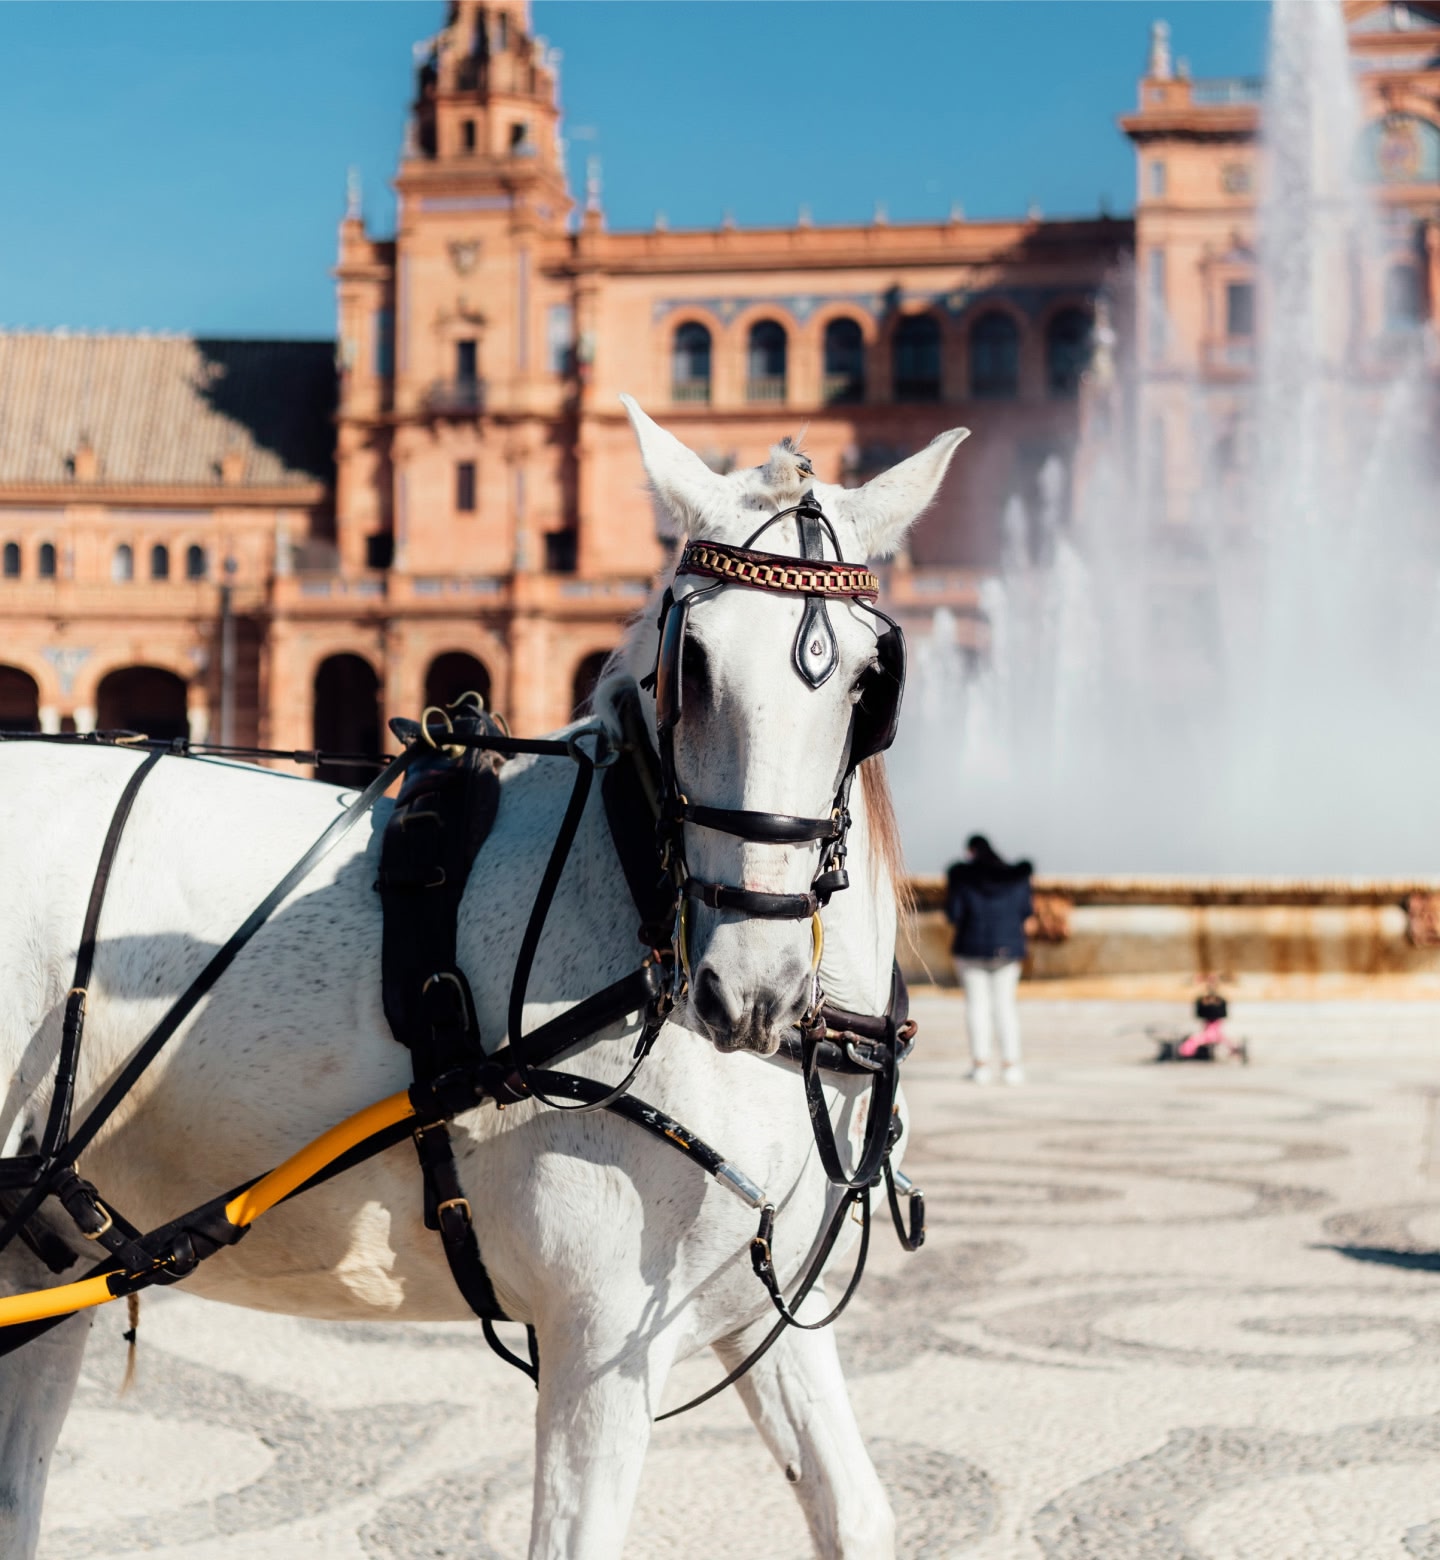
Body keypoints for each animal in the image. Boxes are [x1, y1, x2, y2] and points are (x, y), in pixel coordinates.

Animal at [0, 397, 968, 1560]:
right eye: (689, 665)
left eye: (872, 682)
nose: (753, 988)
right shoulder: (598, 1336)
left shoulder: (753, 1312)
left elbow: (855, 1509)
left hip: (46, 1263)